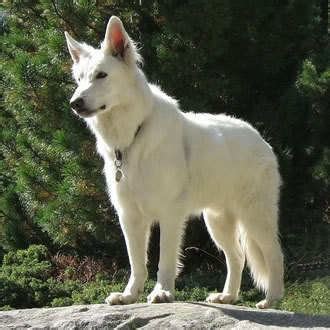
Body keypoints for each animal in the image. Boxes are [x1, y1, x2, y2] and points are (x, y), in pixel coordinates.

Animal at [64, 16, 284, 310]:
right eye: (79, 79)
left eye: (101, 76)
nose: (75, 103)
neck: (133, 136)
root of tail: (259, 136)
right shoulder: (130, 216)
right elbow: (137, 264)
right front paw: (129, 295)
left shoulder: (170, 215)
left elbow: (165, 260)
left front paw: (162, 293)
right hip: (217, 221)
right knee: (237, 257)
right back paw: (228, 296)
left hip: (255, 217)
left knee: (274, 255)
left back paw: (271, 300)